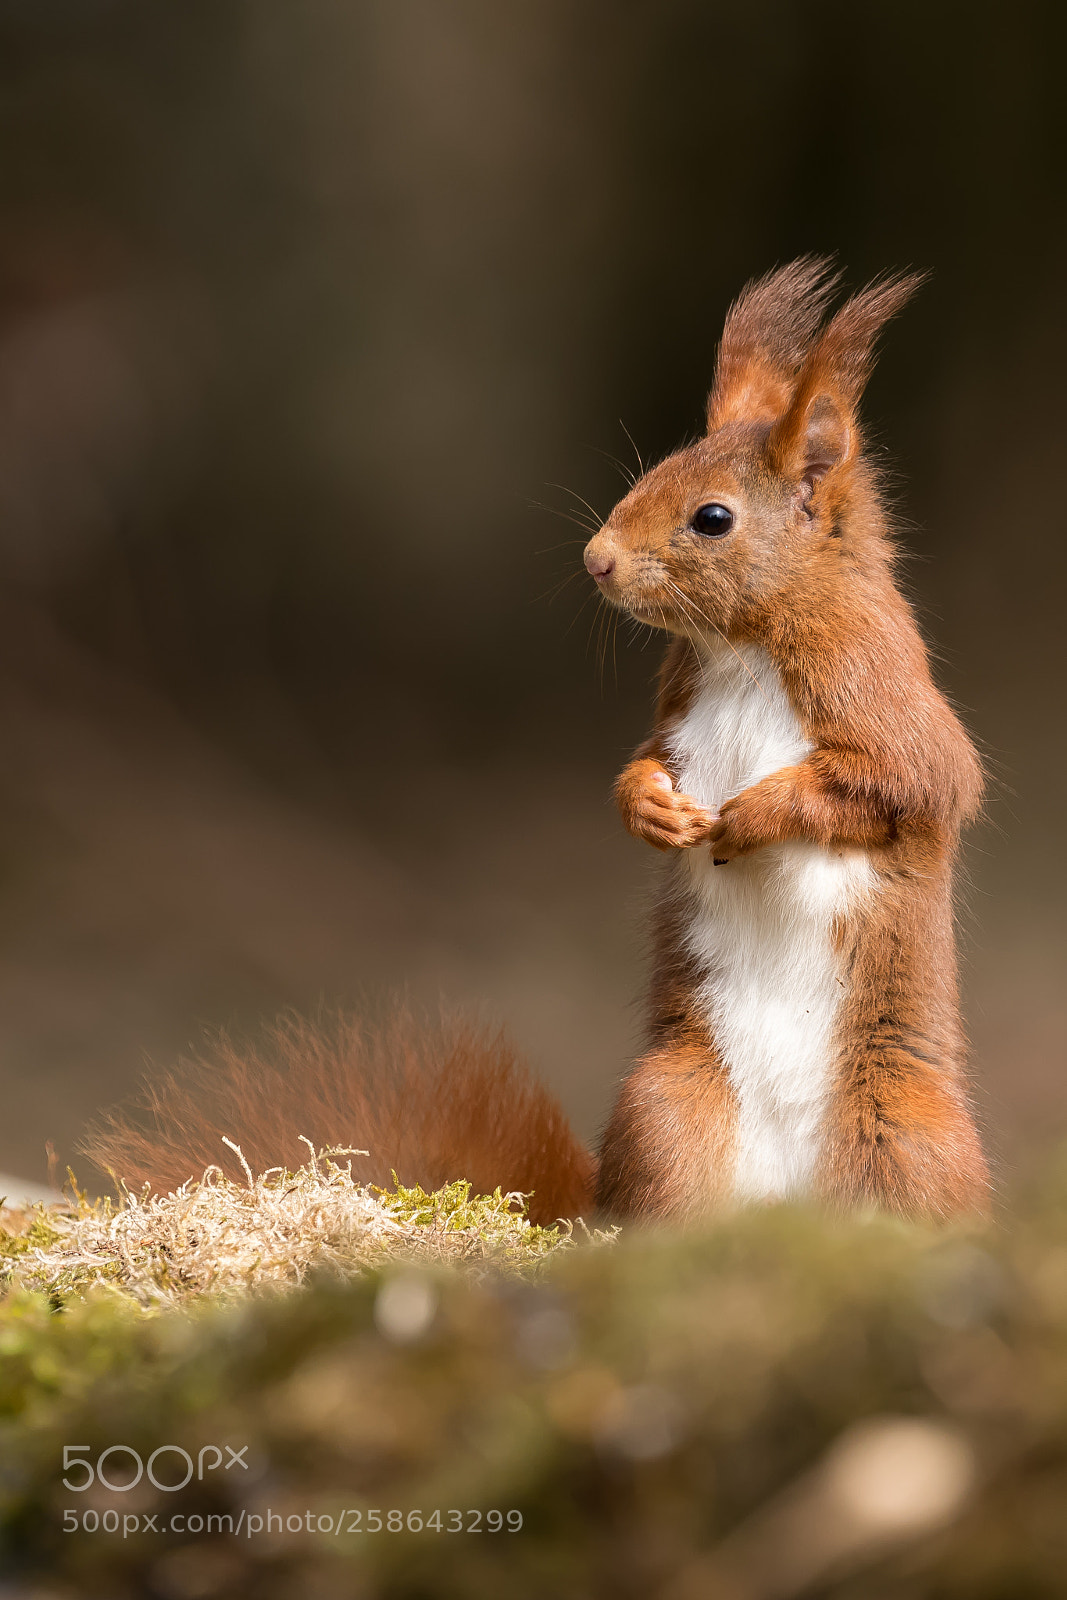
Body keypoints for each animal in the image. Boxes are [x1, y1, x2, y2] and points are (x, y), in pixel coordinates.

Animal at [85, 259, 989, 1225]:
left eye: (712, 518)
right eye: (653, 469)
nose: (596, 560)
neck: (742, 649)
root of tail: (778, 1210)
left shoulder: (886, 704)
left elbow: (898, 786)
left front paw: (751, 815)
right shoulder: (677, 710)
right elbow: (644, 762)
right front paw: (653, 810)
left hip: (898, 1132)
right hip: (668, 1108)